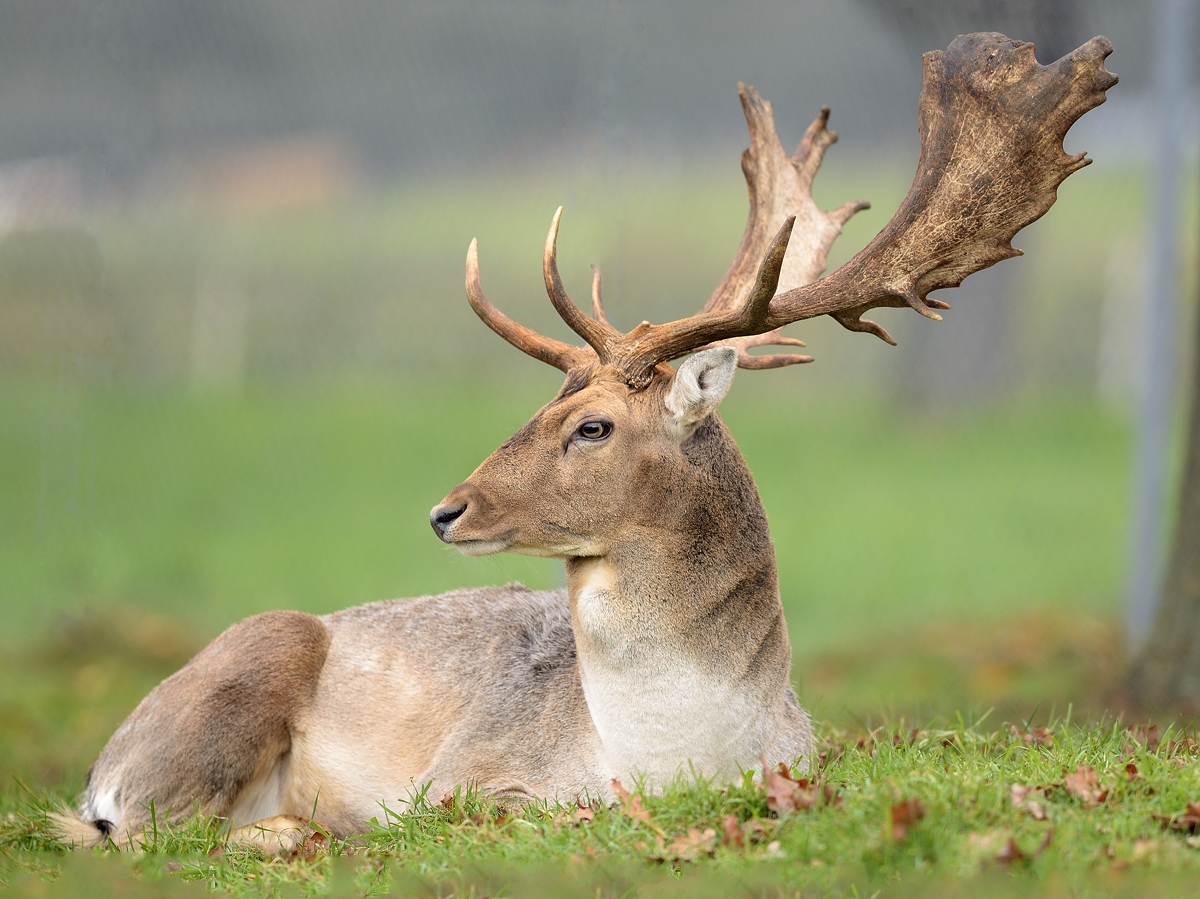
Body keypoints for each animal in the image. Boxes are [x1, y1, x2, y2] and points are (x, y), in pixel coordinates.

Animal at [58, 35, 1113, 849]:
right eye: (543, 407)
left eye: (590, 425)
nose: (446, 509)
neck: (673, 760)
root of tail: (100, 767)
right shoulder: (463, 777)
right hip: (243, 668)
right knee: (148, 829)